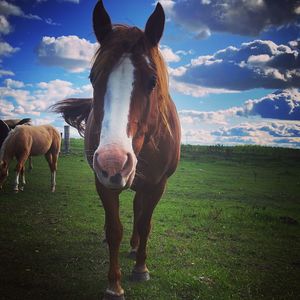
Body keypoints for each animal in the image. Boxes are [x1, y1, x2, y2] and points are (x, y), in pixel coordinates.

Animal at [51, 1, 180, 298]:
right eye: (93, 77)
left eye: (152, 81)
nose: (113, 163)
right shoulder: (104, 182)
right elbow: (114, 229)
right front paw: (114, 284)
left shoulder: (158, 184)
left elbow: (145, 223)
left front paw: (141, 269)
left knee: (138, 209)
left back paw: (134, 249)